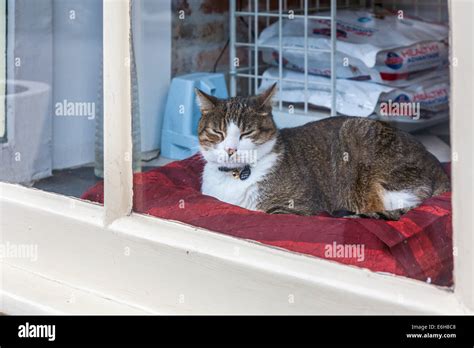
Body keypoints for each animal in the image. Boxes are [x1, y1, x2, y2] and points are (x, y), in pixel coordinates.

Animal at [194, 83, 450, 220]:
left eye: (246, 133)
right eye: (218, 132)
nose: (230, 149)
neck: (235, 175)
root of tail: (437, 167)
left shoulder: (299, 207)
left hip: (360, 137)